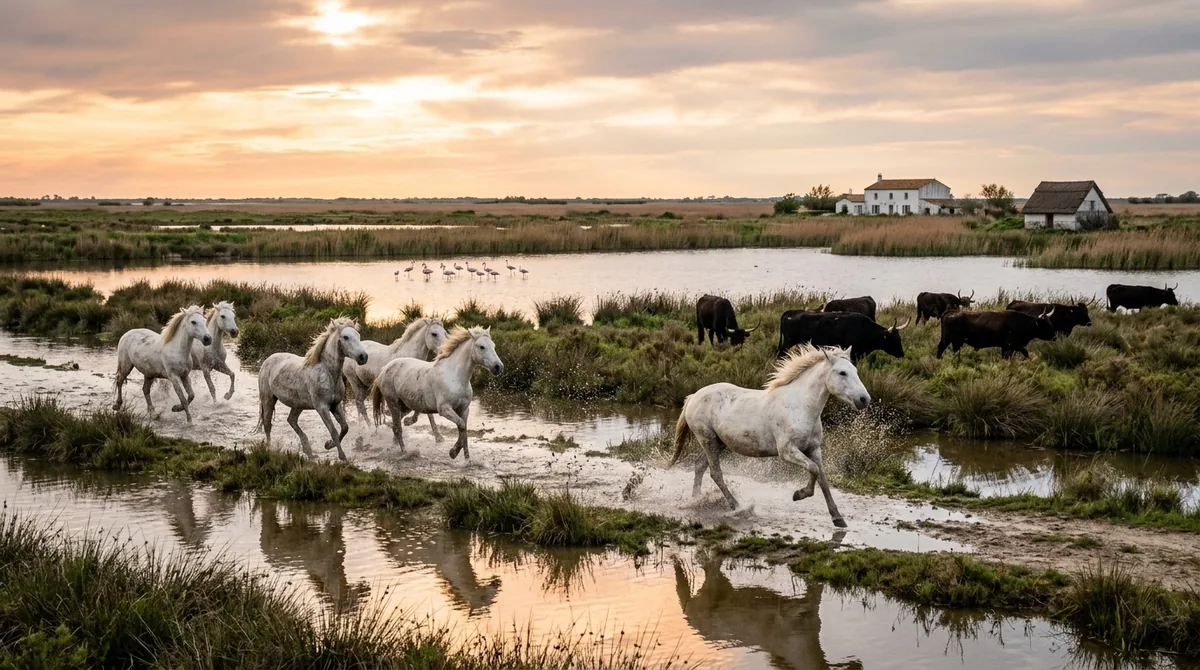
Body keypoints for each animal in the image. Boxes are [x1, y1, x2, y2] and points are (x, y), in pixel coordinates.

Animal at [257, 317, 368, 462]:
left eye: (358, 335)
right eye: (346, 337)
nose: (363, 357)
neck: (329, 373)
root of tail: (267, 360)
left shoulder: (335, 405)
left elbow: (345, 427)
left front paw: (328, 445)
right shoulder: (322, 407)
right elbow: (333, 430)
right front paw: (342, 456)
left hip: (298, 404)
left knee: (291, 420)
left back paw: (308, 451)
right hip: (268, 399)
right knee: (267, 424)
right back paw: (270, 449)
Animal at [369, 326, 504, 460]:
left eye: (494, 346)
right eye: (481, 347)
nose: (498, 367)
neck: (455, 376)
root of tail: (384, 369)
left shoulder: (464, 409)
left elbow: (464, 432)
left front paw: (467, 461)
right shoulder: (444, 409)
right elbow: (461, 426)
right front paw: (453, 452)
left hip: (406, 404)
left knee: (395, 425)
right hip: (393, 402)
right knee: (397, 428)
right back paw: (404, 452)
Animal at [669, 344, 869, 527]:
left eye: (855, 371)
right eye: (842, 373)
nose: (864, 400)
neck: (801, 406)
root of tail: (693, 396)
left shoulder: (814, 449)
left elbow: (822, 478)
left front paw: (838, 518)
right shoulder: (787, 451)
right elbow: (813, 470)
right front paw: (798, 495)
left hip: (718, 443)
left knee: (699, 466)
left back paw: (696, 500)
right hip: (707, 439)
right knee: (715, 473)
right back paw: (737, 506)